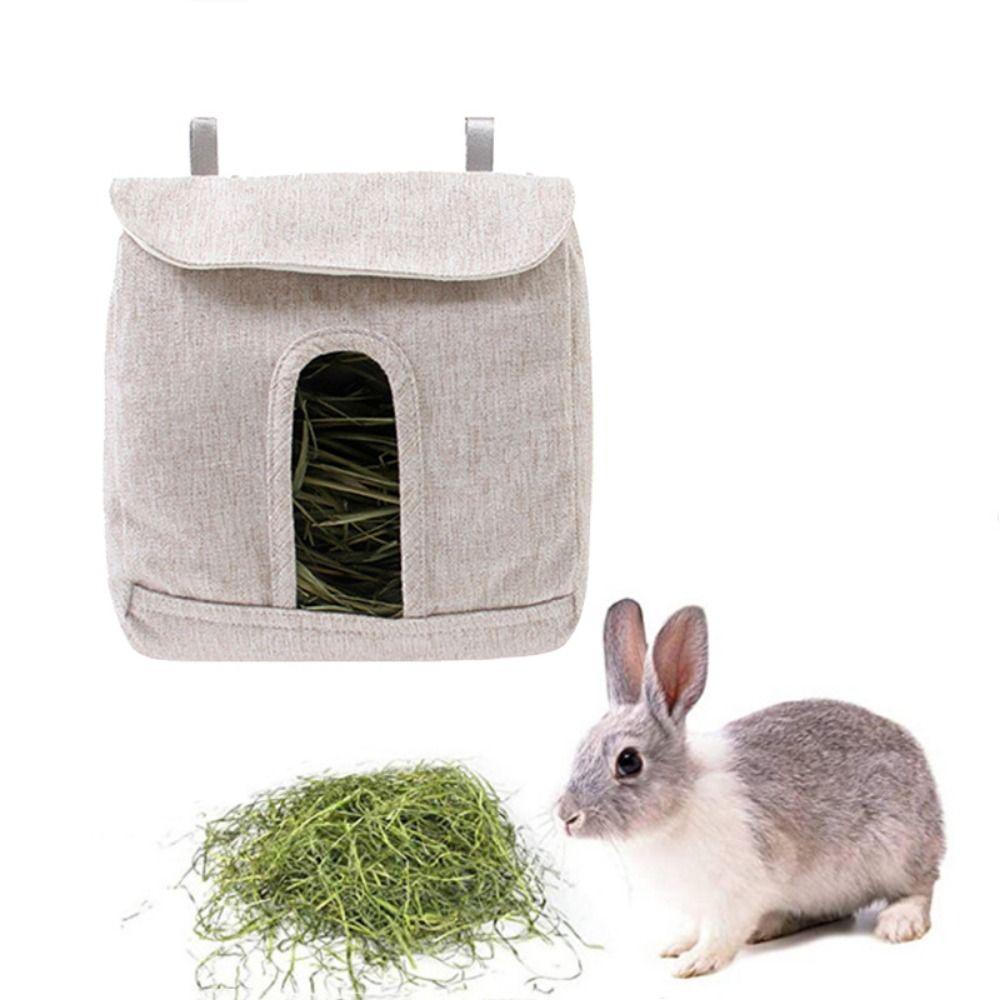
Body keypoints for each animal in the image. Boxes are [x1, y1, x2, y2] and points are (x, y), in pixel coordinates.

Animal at [557, 601, 944, 978]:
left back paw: (899, 923)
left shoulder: (735, 892)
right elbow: (694, 926)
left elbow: (720, 932)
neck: (682, 800)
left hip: (898, 851)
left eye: (628, 761)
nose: (566, 816)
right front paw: (675, 945)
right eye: (580, 747)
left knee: (921, 889)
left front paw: (695, 962)